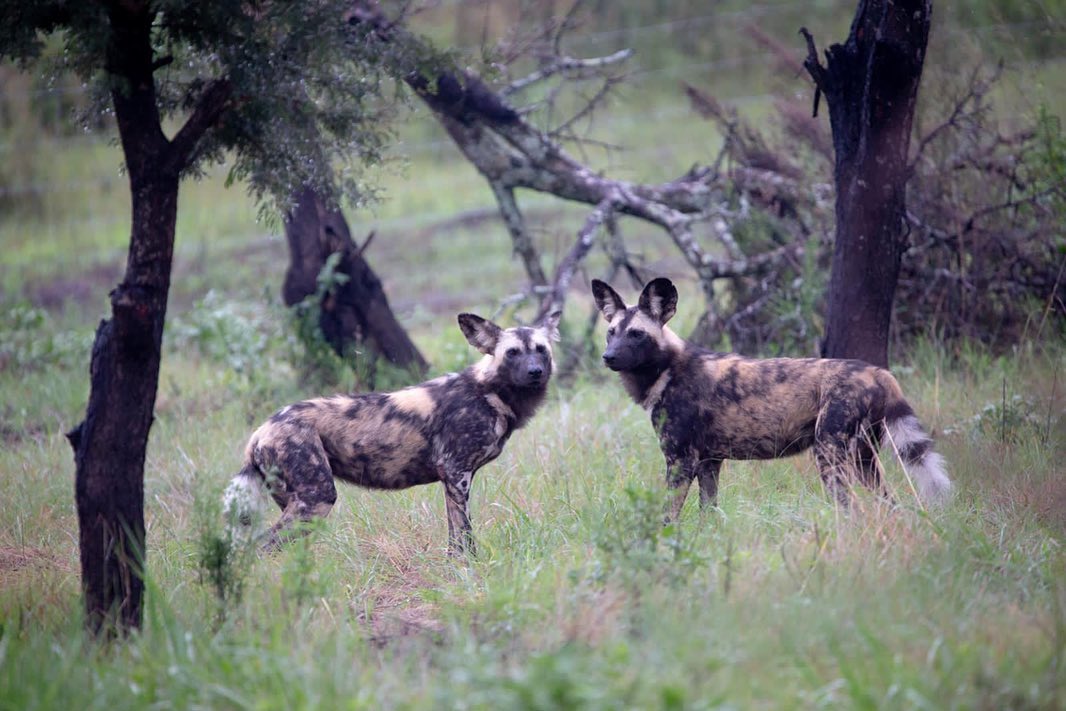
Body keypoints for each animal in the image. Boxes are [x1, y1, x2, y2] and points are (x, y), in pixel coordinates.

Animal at [221, 313, 562, 554]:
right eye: (512, 353)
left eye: (541, 350)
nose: (535, 372)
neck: (489, 392)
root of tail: (260, 431)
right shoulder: (456, 474)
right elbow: (464, 536)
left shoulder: (453, 479)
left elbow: (455, 537)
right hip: (316, 498)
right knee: (262, 548)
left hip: (296, 503)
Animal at [592, 275, 950, 520]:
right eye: (611, 332)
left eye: (636, 334)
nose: (608, 357)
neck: (668, 368)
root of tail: (878, 373)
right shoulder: (708, 462)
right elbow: (710, 513)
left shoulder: (681, 461)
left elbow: (668, 515)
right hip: (863, 461)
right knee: (889, 505)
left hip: (830, 455)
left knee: (853, 509)